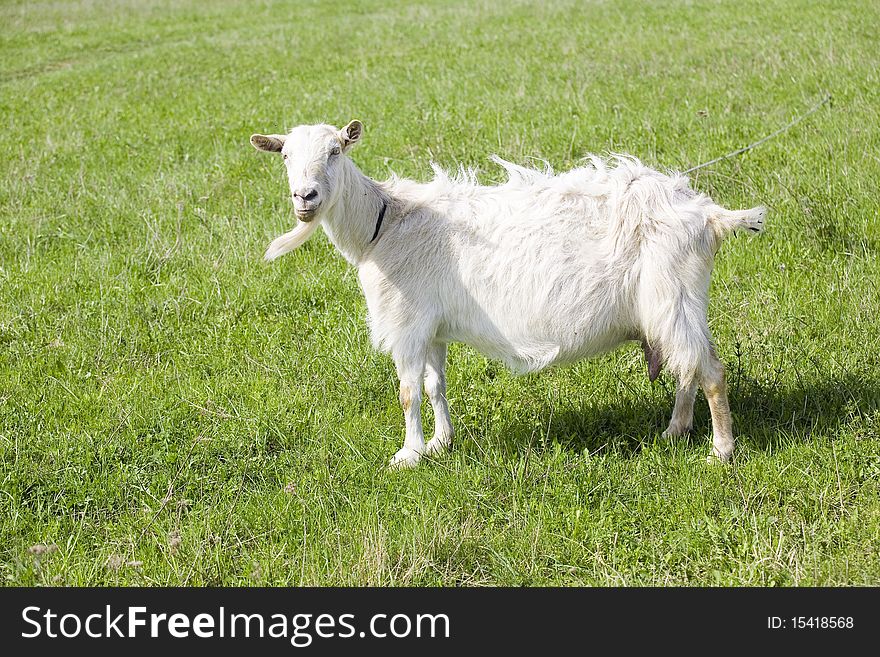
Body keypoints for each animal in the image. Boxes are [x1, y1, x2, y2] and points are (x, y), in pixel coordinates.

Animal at [249, 121, 764, 466]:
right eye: (284, 156)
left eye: (336, 150)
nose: (305, 197)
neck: (383, 223)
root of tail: (709, 215)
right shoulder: (433, 327)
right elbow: (434, 385)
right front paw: (441, 442)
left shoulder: (407, 324)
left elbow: (408, 392)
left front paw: (408, 455)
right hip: (669, 302)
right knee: (687, 365)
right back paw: (675, 431)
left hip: (673, 294)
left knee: (709, 369)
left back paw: (720, 451)